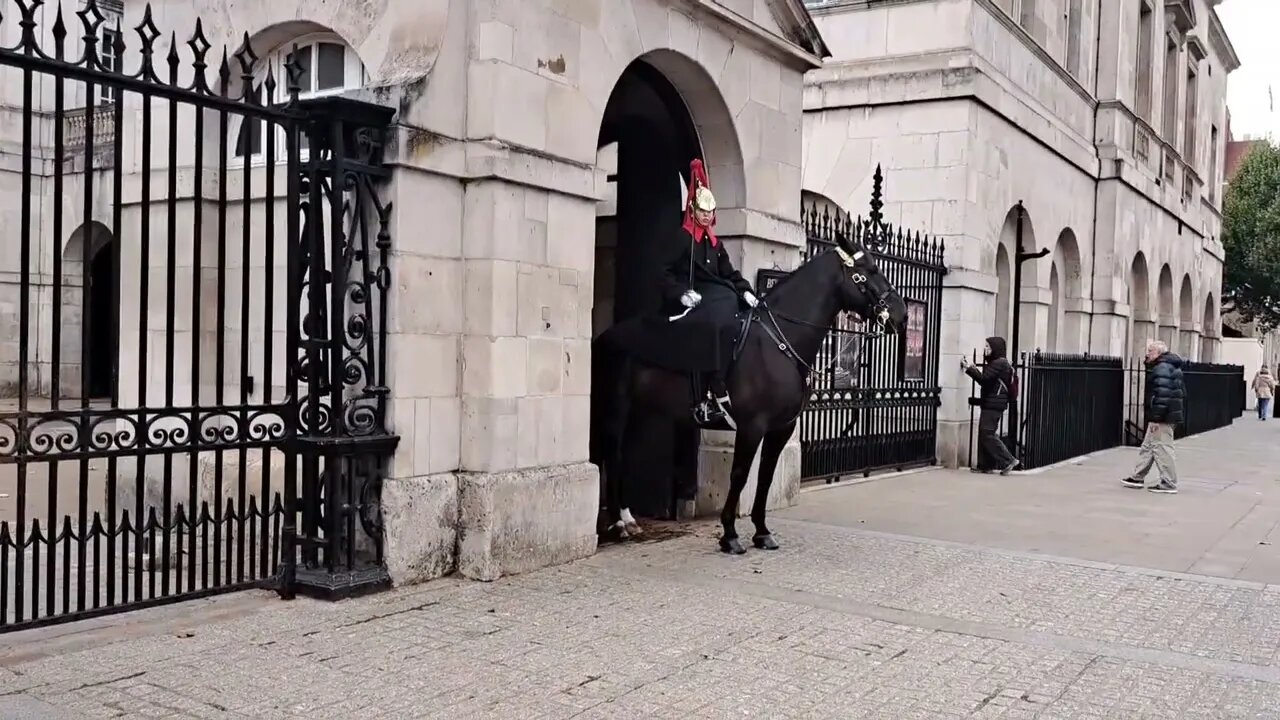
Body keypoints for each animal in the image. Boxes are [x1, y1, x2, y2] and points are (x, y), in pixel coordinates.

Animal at [591, 229, 911, 548]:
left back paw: (627, 518)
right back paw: (618, 523)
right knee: (612, 454)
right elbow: (740, 474)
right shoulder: (752, 426)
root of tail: (604, 335)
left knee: (623, 455)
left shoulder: (781, 427)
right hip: (615, 407)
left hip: (639, 411)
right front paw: (730, 534)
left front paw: (762, 531)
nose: (902, 314)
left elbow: (766, 476)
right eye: (869, 270)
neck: (780, 341)